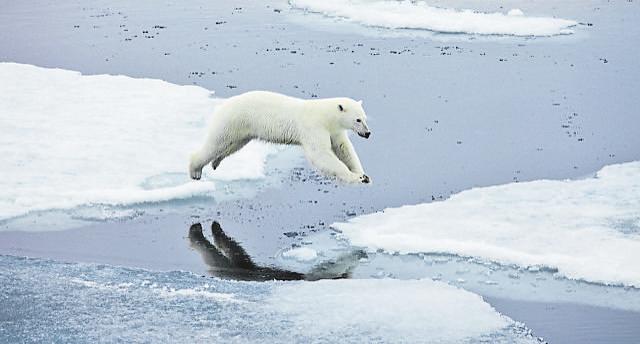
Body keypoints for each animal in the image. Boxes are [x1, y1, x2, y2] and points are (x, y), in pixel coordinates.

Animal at [189, 90, 370, 183]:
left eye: (365, 118)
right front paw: (356, 177)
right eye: (358, 119)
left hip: (242, 129)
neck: (326, 116)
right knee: (216, 143)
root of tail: (222, 105)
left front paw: (364, 175)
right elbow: (321, 155)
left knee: (233, 145)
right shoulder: (313, 127)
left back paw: (216, 162)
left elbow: (344, 149)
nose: (368, 133)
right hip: (232, 121)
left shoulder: (334, 130)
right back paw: (195, 171)